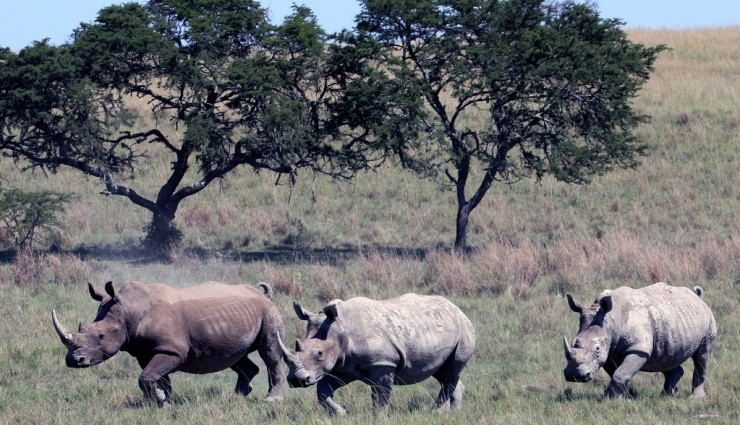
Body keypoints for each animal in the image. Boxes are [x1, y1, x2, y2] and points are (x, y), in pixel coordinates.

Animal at [52, 280, 284, 406]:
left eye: (100, 336)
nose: (73, 360)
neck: (129, 309)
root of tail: (263, 295)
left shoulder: (173, 351)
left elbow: (146, 376)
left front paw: (160, 399)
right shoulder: (145, 351)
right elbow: (157, 377)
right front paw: (162, 400)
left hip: (268, 313)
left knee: (269, 353)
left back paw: (270, 399)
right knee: (236, 357)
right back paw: (237, 396)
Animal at [276, 294, 474, 412]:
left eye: (319, 353)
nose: (296, 380)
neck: (341, 329)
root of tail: (457, 309)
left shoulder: (383, 362)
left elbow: (381, 396)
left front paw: (378, 417)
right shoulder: (343, 365)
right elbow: (323, 391)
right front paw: (340, 413)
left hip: (464, 330)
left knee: (452, 370)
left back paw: (435, 413)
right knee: (443, 372)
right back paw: (451, 414)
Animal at [560, 282, 716, 398]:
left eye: (597, 349)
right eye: (574, 343)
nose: (574, 376)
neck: (611, 319)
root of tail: (697, 296)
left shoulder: (638, 349)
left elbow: (620, 373)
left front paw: (613, 399)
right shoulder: (610, 350)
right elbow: (616, 373)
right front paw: (623, 397)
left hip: (707, 319)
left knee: (702, 355)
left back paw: (695, 398)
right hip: (673, 322)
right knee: (667, 357)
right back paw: (666, 395)